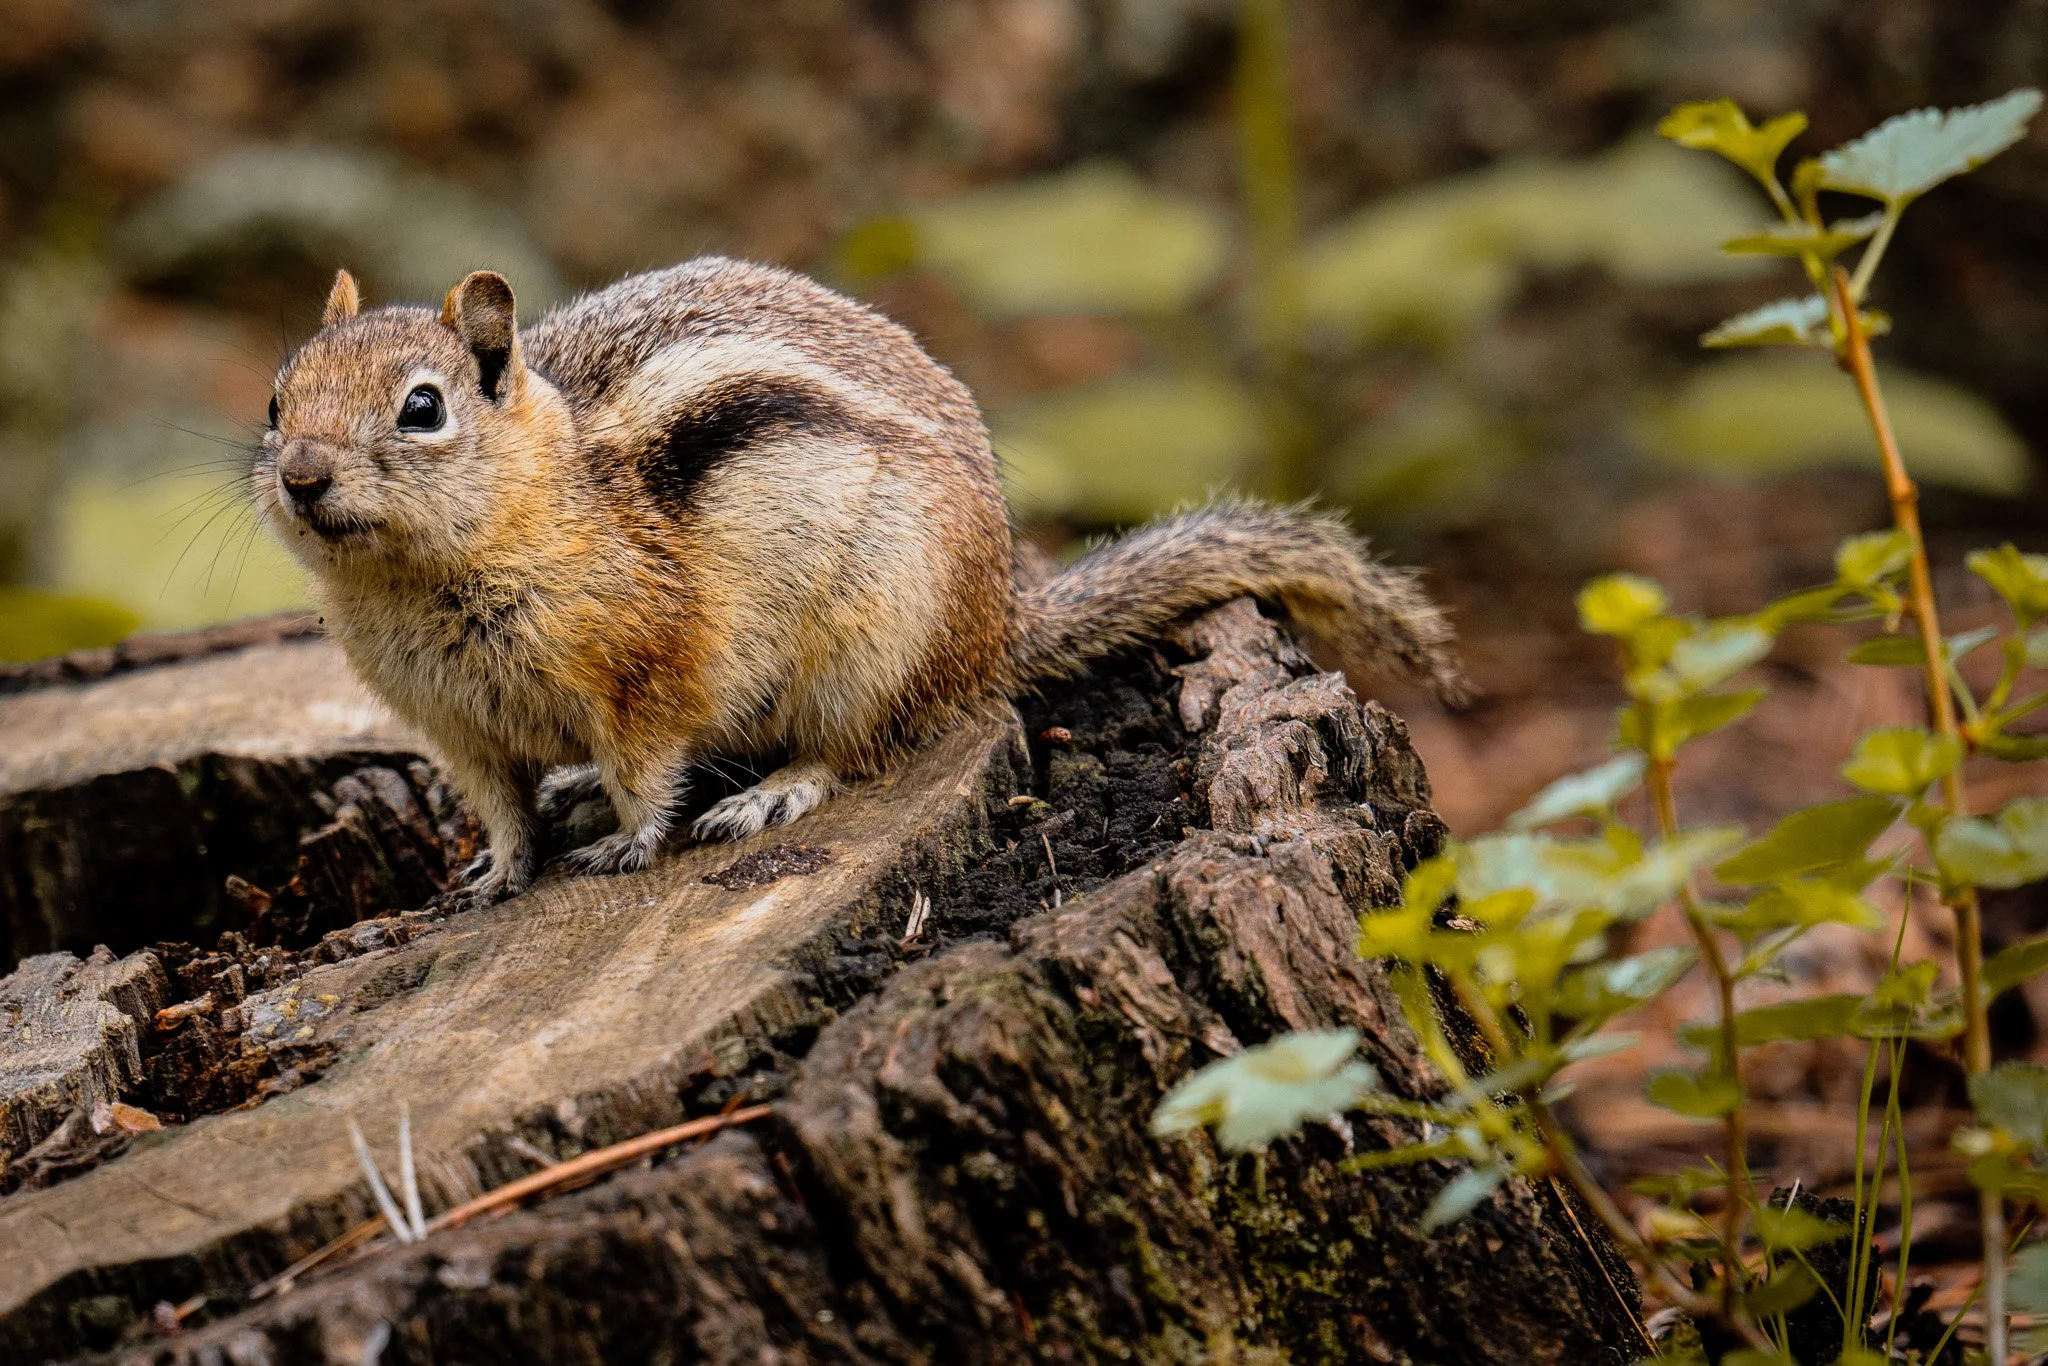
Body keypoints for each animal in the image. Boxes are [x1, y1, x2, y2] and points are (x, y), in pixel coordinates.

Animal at [255, 258, 1469, 900]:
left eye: (422, 407)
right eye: (276, 400)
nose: (303, 474)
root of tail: (997, 621)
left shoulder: (647, 673)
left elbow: (649, 771)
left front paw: (630, 839)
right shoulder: (457, 732)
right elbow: (502, 810)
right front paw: (494, 874)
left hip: (870, 641)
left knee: (854, 749)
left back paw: (766, 791)